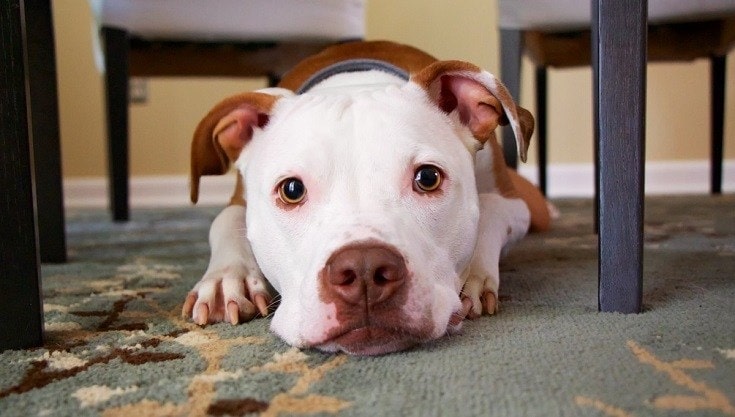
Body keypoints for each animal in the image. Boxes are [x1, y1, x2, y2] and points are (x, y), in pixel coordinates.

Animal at [184, 39, 552, 354]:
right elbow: (225, 219)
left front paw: (472, 275)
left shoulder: (514, 204)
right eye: (291, 190)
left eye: (428, 178)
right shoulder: (238, 201)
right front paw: (227, 279)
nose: (363, 270)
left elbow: (489, 210)